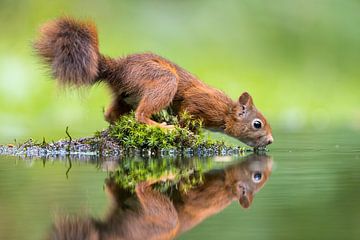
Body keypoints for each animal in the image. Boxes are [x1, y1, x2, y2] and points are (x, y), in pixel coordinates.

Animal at [35, 16, 274, 147]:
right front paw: (187, 132)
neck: (226, 112)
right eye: (257, 124)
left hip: (124, 95)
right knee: (140, 115)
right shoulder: (199, 103)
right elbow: (186, 114)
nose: (271, 141)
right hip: (162, 80)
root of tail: (118, 69)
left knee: (110, 114)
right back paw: (162, 126)